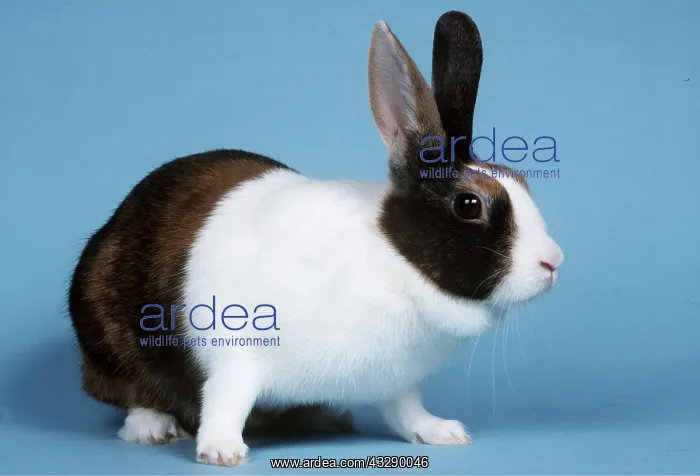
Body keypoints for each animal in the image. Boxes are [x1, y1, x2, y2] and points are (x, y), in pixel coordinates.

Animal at [68, 10, 563, 467]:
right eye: (469, 205)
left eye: (523, 181)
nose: (553, 262)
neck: (398, 263)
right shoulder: (238, 353)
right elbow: (226, 400)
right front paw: (222, 452)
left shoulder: (397, 380)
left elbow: (405, 412)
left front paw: (442, 432)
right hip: (111, 337)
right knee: (128, 392)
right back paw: (153, 427)